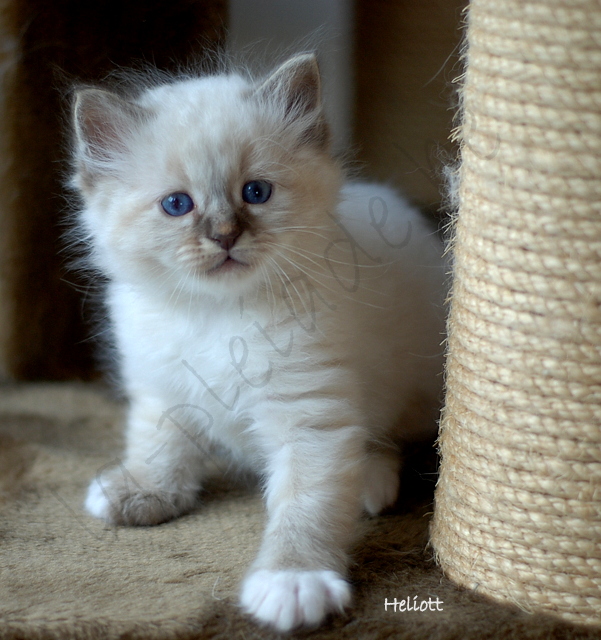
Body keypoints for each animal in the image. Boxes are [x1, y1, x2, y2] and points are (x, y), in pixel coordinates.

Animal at [71, 53, 446, 632]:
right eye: (177, 205)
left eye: (256, 193)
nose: (224, 235)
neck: (216, 315)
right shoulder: (163, 388)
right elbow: (159, 444)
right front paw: (144, 491)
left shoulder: (309, 417)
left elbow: (304, 508)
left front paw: (292, 583)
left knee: (394, 442)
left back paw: (369, 482)